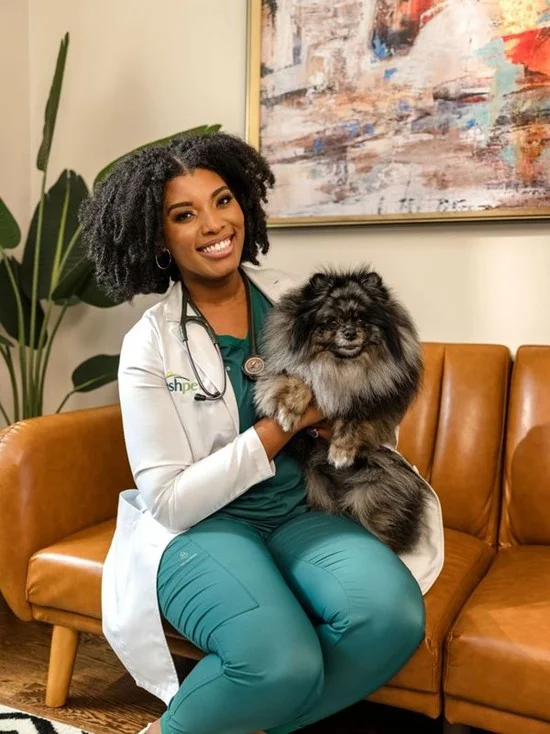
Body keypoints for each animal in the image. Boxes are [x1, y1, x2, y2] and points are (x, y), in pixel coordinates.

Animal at [254, 266, 432, 552]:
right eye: (332, 322)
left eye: (361, 321)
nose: (349, 333)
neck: (344, 368)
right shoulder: (293, 368)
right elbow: (301, 379)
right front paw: (289, 410)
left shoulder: (375, 397)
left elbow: (355, 413)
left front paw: (341, 451)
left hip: (377, 488)